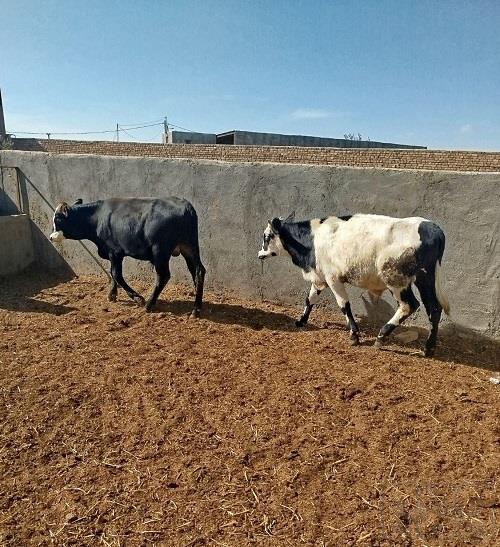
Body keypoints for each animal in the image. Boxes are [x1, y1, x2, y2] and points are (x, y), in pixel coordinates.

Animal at [50, 197, 206, 316]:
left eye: (58, 220)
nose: (51, 237)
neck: (97, 217)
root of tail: (185, 206)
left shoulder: (115, 252)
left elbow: (116, 274)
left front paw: (137, 298)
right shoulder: (112, 254)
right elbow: (112, 273)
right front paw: (112, 294)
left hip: (160, 252)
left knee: (163, 276)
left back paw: (149, 304)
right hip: (189, 247)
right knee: (198, 272)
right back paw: (196, 309)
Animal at [258, 213, 450, 356]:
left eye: (267, 236)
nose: (259, 254)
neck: (312, 239)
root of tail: (433, 228)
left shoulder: (333, 278)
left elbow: (344, 305)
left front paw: (354, 334)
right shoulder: (320, 277)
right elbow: (309, 299)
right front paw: (301, 320)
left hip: (396, 280)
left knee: (409, 305)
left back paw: (381, 335)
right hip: (425, 278)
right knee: (433, 308)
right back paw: (428, 348)